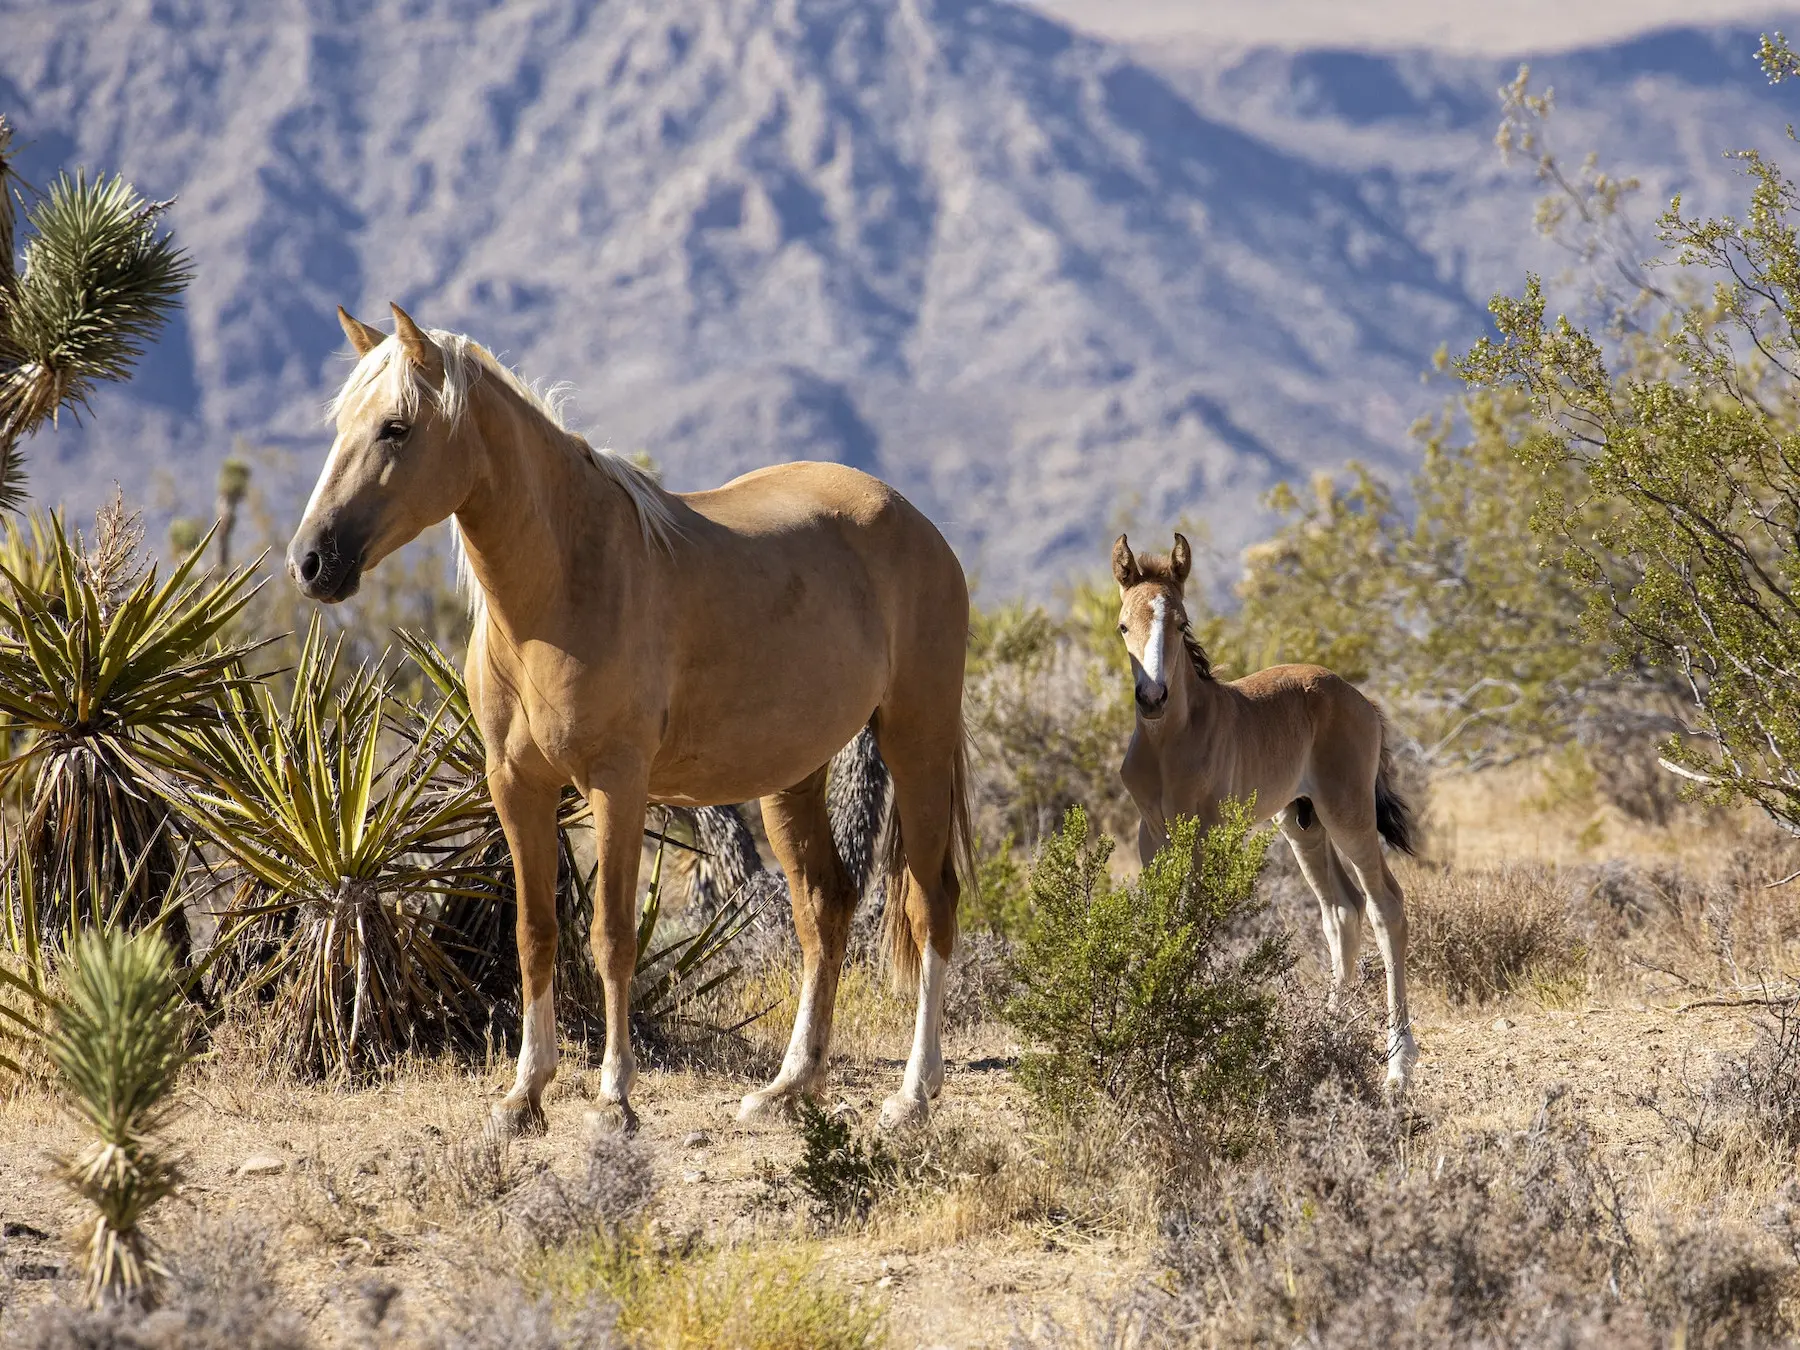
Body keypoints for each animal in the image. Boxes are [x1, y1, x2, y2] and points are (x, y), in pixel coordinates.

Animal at [291, 304, 972, 1130]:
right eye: (338, 425)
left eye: (395, 427)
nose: (312, 562)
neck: (565, 584)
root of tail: (916, 522)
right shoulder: (516, 785)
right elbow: (534, 933)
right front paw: (524, 1095)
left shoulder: (616, 785)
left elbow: (611, 936)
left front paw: (614, 1096)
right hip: (794, 777)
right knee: (826, 908)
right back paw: (789, 1086)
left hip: (916, 741)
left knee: (931, 903)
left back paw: (913, 1093)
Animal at [1108, 532, 1418, 1094]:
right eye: (1124, 625)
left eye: (1181, 622)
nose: (1152, 697)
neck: (1170, 741)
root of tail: (1360, 699)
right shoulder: (1151, 836)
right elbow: (1166, 921)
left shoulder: (1204, 834)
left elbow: (1195, 924)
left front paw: (1184, 1052)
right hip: (1302, 821)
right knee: (1342, 908)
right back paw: (1328, 1033)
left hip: (1348, 812)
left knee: (1385, 903)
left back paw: (1399, 1065)